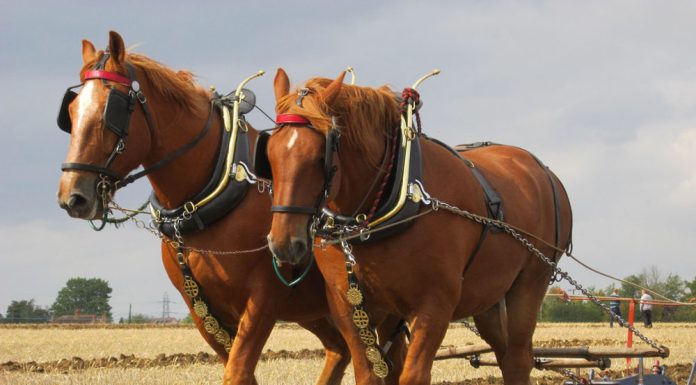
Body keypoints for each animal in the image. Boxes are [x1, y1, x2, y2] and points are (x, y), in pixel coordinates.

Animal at [55, 31, 354, 382]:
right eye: (71, 111)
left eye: (110, 110)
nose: (72, 196)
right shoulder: (200, 308)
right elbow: (238, 369)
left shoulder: (263, 298)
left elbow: (237, 371)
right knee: (340, 349)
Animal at [264, 67, 572, 382]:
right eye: (269, 154)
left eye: (319, 156)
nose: (284, 244)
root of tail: (547, 174)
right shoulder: (348, 305)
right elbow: (371, 374)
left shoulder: (434, 304)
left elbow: (412, 375)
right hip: (489, 296)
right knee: (506, 356)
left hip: (530, 282)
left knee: (519, 358)